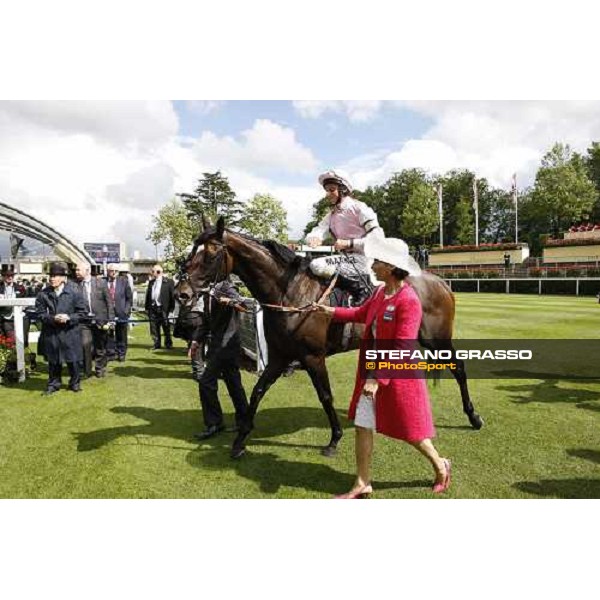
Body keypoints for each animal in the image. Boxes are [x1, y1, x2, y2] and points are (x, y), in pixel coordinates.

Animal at [177, 218, 482, 458]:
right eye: (192, 250)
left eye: (211, 253)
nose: (183, 292)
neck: (289, 293)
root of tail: (439, 281)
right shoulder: (279, 356)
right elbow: (258, 391)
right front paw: (240, 439)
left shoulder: (313, 357)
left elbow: (325, 395)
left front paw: (334, 438)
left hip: (436, 339)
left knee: (459, 368)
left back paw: (473, 416)